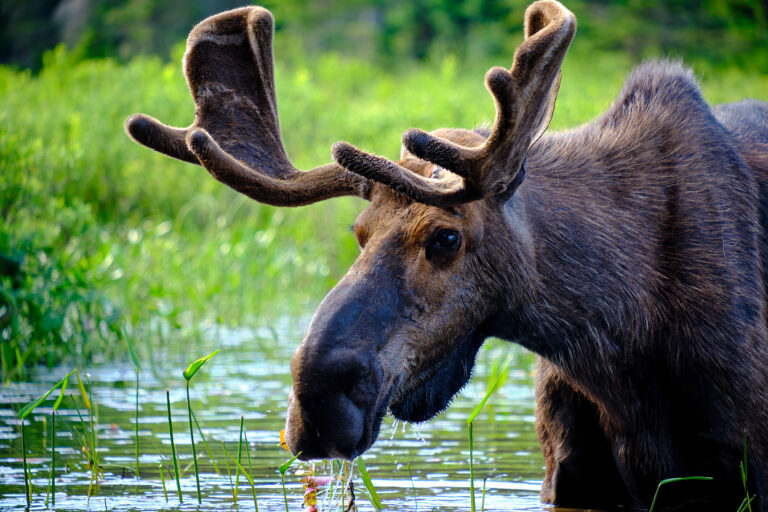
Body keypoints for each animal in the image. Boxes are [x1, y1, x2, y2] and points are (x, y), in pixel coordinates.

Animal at [125, 1, 768, 510]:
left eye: (446, 238)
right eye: (359, 232)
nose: (316, 402)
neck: (621, 340)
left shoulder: (743, 459)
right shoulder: (570, 474)